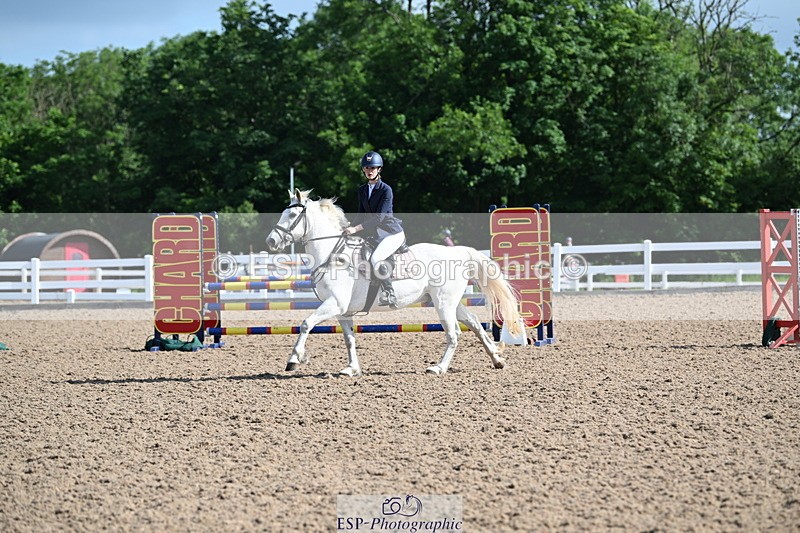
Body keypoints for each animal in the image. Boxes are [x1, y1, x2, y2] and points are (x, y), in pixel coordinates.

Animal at [265, 189, 523, 376]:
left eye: (292, 215)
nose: (271, 241)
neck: (331, 253)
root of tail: (458, 252)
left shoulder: (334, 304)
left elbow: (306, 324)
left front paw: (294, 360)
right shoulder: (343, 311)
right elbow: (349, 339)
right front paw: (351, 369)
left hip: (443, 303)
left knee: (454, 333)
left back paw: (438, 368)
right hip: (448, 301)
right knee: (475, 324)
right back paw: (497, 360)